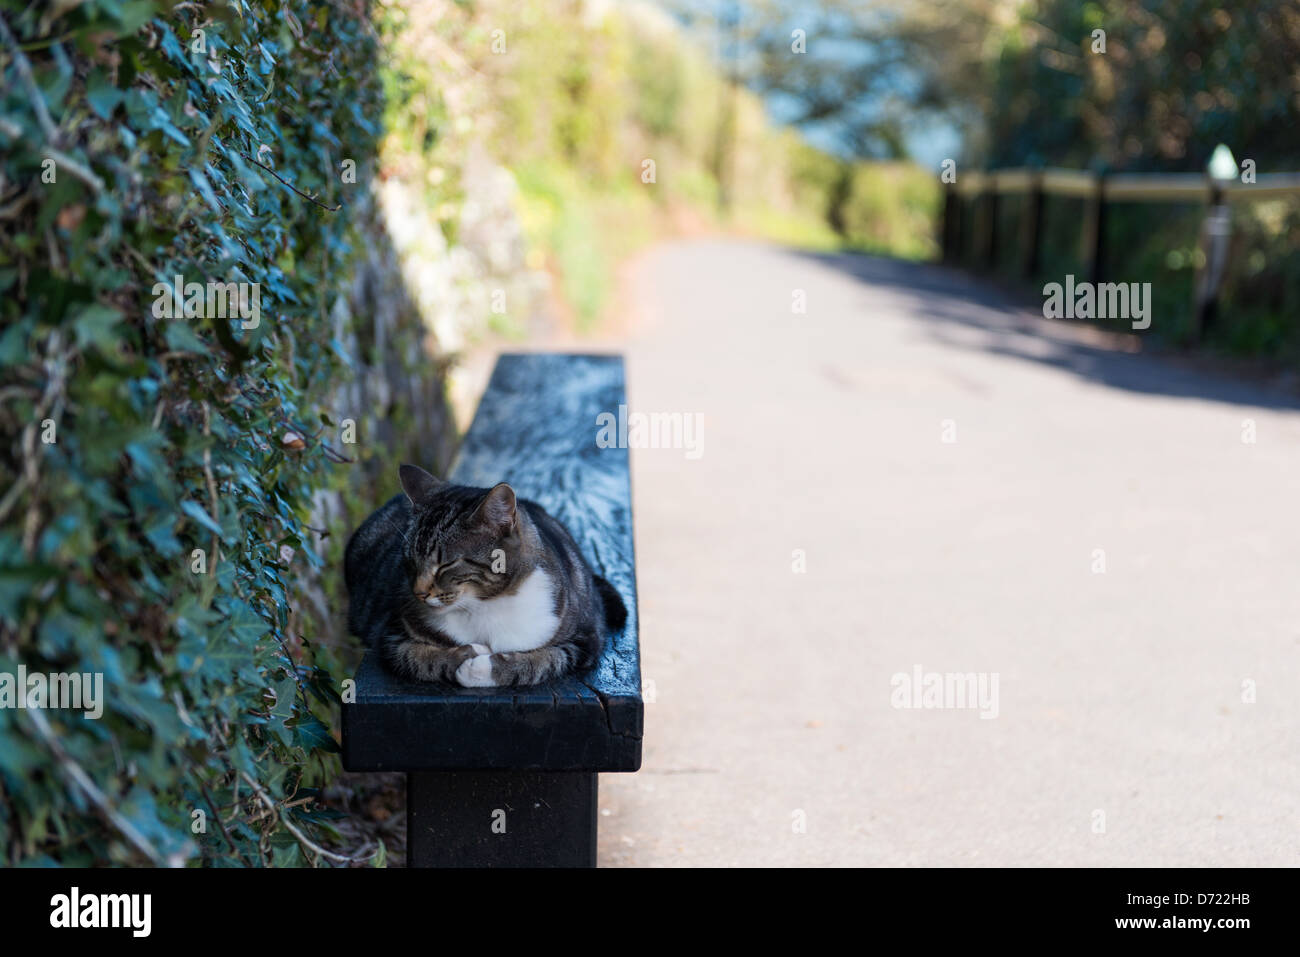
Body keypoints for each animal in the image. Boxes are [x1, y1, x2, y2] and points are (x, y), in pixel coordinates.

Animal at [343, 462, 626, 686]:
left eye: (446, 564)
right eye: (409, 560)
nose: (418, 593)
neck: (484, 604)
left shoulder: (586, 640)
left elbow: (544, 660)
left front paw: (483, 668)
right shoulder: (390, 634)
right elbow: (418, 658)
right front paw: (468, 655)